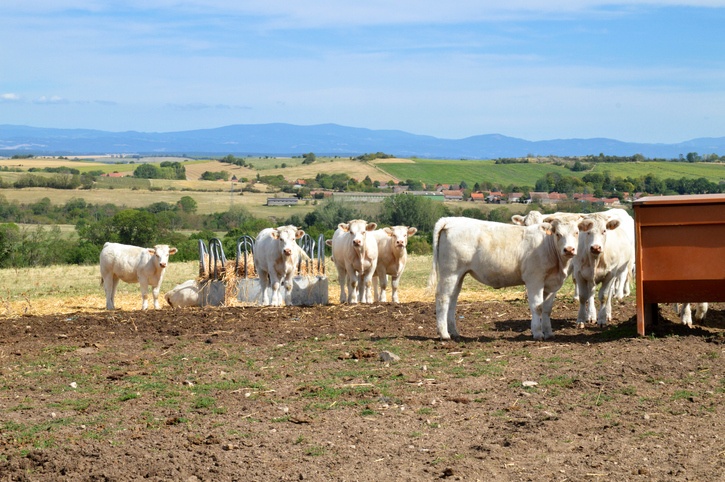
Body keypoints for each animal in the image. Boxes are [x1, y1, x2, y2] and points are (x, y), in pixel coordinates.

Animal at [428, 215, 580, 342]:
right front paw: (537, 333)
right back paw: (444, 334)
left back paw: (454, 332)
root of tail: (450, 219)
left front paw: (549, 333)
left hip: (459, 275)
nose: (569, 249)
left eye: (577, 232)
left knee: (452, 299)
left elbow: (547, 309)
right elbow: (537, 307)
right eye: (558, 234)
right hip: (450, 272)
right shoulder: (534, 280)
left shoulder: (552, 284)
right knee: (442, 297)